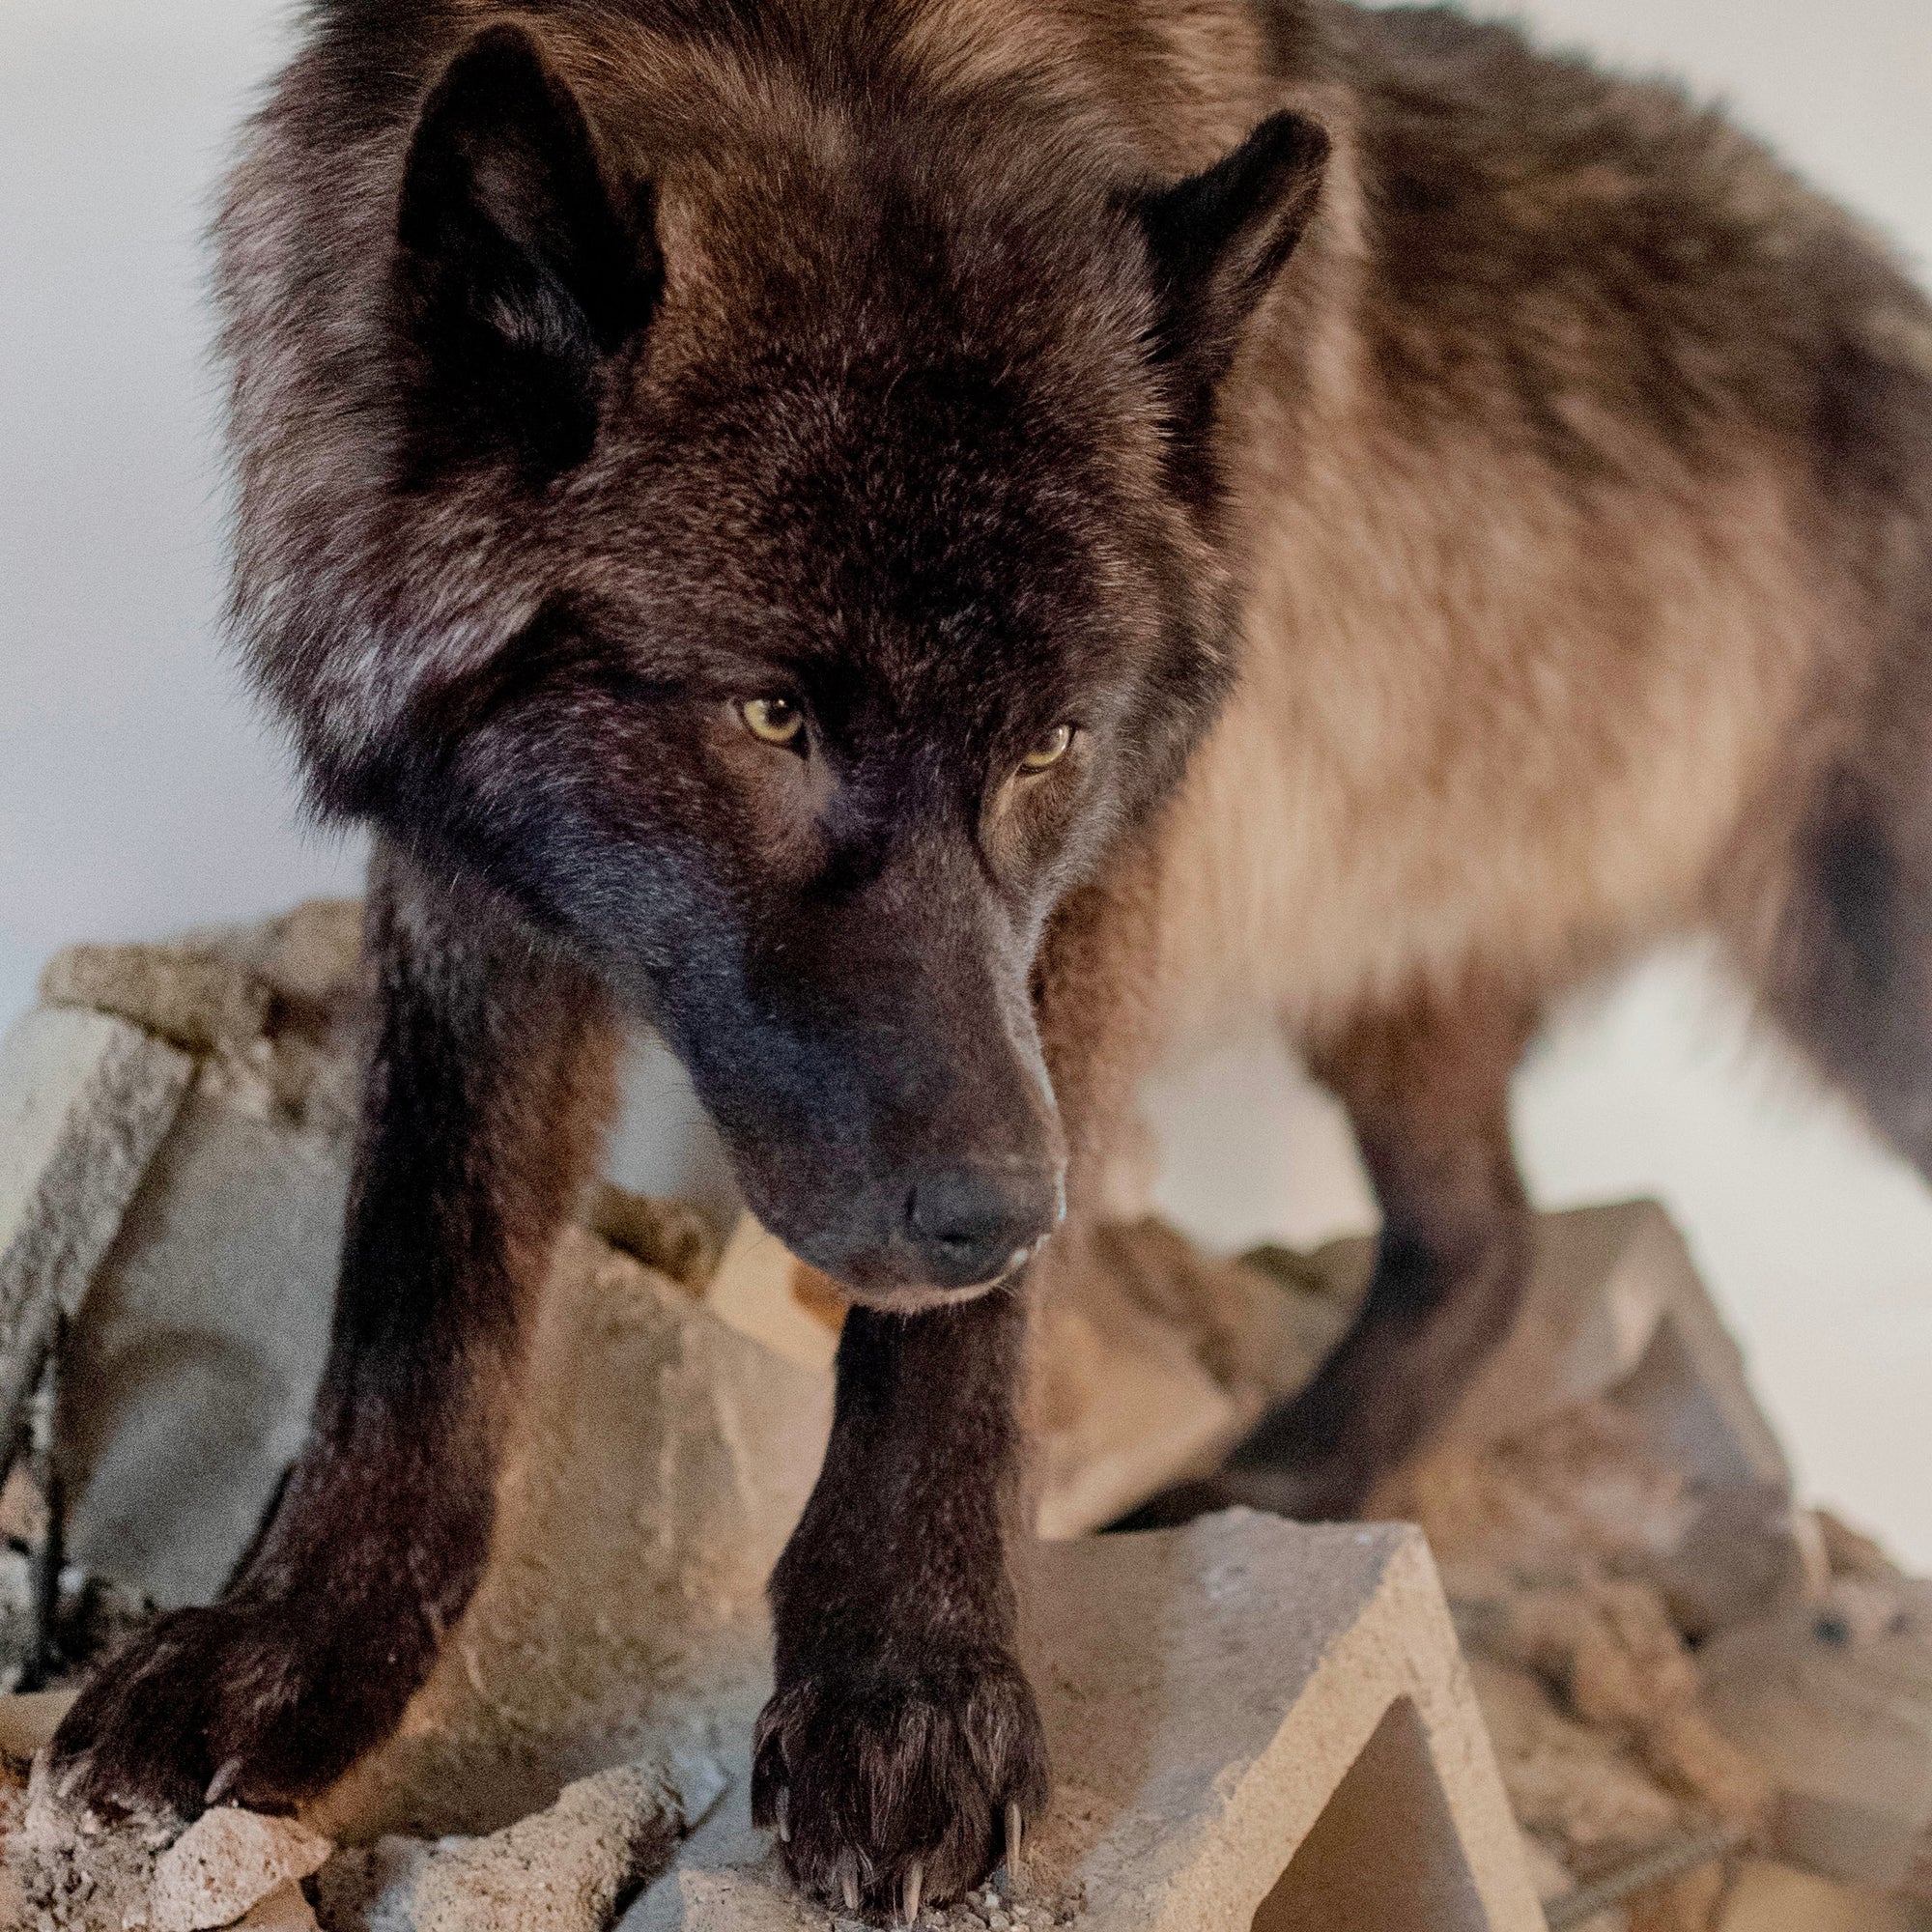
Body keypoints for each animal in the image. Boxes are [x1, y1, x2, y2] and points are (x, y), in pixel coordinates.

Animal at [47, 0, 1932, 1915]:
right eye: (774, 714)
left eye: (1049, 745)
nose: (1002, 1211)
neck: (842, 59)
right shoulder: (464, 878)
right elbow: (416, 1289)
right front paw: (294, 1653)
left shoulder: (1106, 888)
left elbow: (958, 1350)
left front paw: (911, 1683)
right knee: (1487, 1245)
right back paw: (1283, 1479)